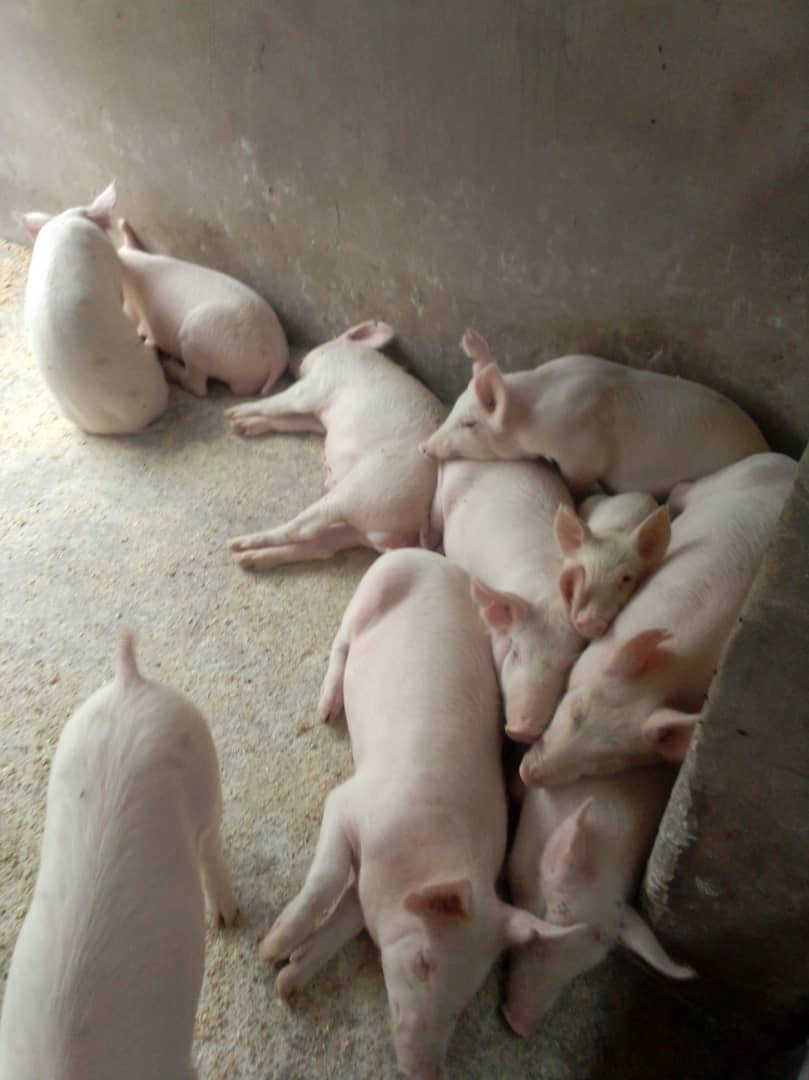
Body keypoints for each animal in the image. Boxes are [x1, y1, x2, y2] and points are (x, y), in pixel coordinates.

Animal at [226, 321, 447, 570]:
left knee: (303, 528)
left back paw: (238, 545)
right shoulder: (316, 417)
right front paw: (239, 426)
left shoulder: (314, 388)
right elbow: (288, 420)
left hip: (367, 489)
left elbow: (275, 404)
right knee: (321, 546)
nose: (294, 356)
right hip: (361, 525)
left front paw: (232, 413)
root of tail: (421, 523)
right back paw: (246, 559)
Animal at [258, 550, 586, 1079]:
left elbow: (345, 919)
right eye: (424, 962)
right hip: (372, 590)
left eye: (469, 993)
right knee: (342, 642)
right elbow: (324, 880)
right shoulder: (348, 804)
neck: (428, 847)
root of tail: (428, 556)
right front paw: (269, 949)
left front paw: (286, 981)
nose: (423, 1069)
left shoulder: (374, 889)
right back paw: (327, 710)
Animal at [419, 329, 768, 496]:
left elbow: (579, 481)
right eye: (455, 406)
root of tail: (762, 445)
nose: (423, 447)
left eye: (469, 423)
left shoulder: (583, 459)